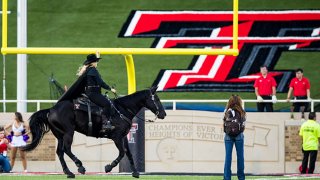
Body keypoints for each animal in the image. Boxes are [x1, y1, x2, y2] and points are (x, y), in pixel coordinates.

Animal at [22, 86, 166, 179]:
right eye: (157, 99)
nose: (164, 114)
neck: (121, 110)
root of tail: (51, 110)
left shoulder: (123, 137)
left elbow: (128, 153)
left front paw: (135, 172)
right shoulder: (116, 137)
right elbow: (122, 152)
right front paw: (108, 167)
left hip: (60, 135)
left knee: (60, 152)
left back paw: (69, 172)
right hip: (68, 133)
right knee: (67, 149)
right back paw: (80, 167)